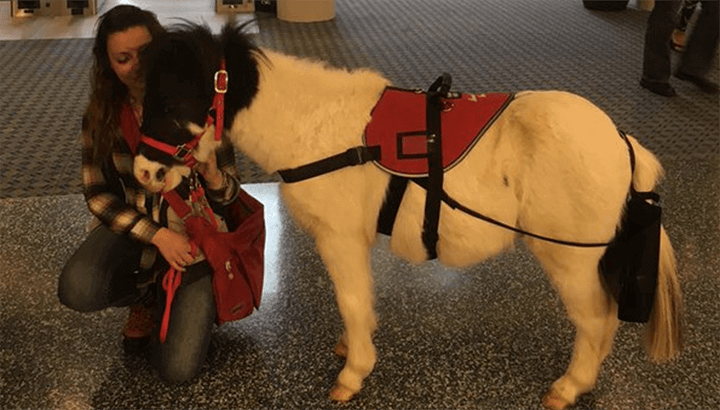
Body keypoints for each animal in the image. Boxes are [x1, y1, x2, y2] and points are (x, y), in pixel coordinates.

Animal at [134, 23, 680, 410]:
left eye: (171, 100)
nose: (143, 171)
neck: (313, 127)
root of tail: (622, 141)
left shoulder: (340, 239)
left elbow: (352, 301)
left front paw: (354, 373)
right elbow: (360, 304)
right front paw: (351, 348)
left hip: (570, 261)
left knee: (595, 320)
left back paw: (569, 386)